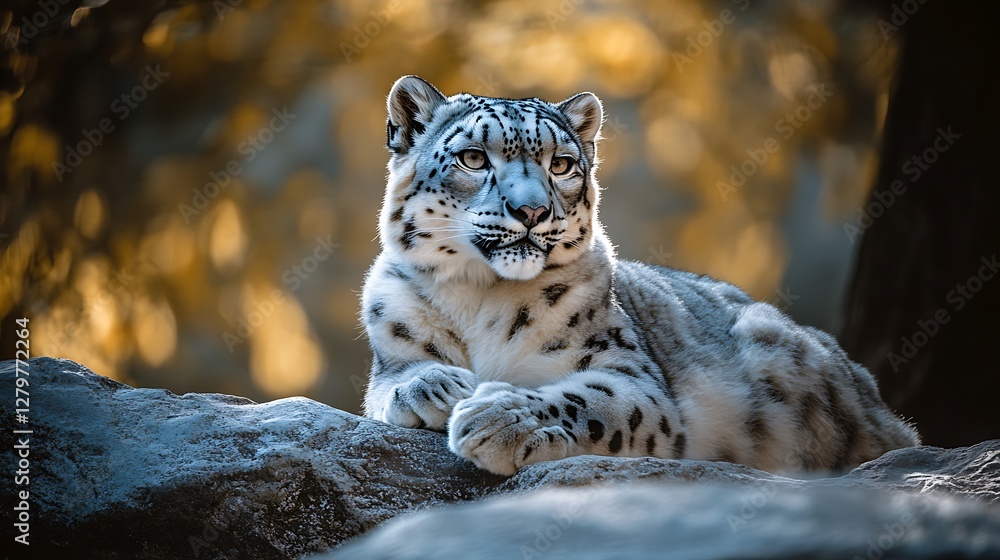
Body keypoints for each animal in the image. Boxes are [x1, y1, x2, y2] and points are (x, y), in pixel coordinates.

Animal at [360, 75, 919, 476]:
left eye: (562, 164)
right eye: (473, 158)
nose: (533, 211)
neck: (479, 296)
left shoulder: (632, 377)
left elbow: (589, 400)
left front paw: (502, 418)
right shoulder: (390, 347)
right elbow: (387, 385)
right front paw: (431, 386)